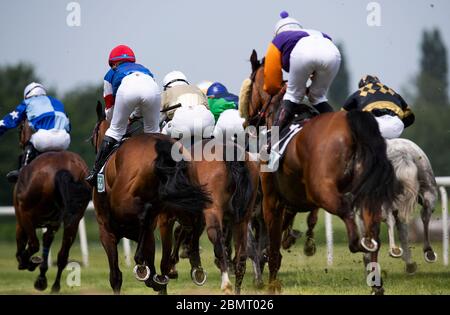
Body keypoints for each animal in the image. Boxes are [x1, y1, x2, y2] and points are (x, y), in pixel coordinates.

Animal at [13, 119, 91, 292]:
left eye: (20, 128)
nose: (21, 143)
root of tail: (64, 168)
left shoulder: (22, 216)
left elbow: (23, 242)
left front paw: (24, 261)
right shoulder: (53, 223)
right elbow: (47, 242)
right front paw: (41, 278)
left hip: (27, 213)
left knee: (34, 244)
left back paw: (29, 261)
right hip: (74, 219)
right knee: (63, 255)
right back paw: (54, 285)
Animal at [92, 102, 213, 296]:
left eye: (94, 134)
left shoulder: (106, 230)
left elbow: (116, 276)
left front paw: (148, 273)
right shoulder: (147, 234)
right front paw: (157, 278)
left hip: (128, 203)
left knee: (148, 215)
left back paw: (143, 263)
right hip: (182, 198)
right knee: (195, 220)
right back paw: (194, 264)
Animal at [243, 50, 400, 296]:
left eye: (249, 87)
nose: (248, 120)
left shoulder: (272, 201)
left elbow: (274, 248)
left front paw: (272, 284)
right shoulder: (293, 201)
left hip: (323, 189)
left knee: (346, 208)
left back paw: (357, 243)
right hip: (366, 193)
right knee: (372, 231)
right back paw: (375, 278)